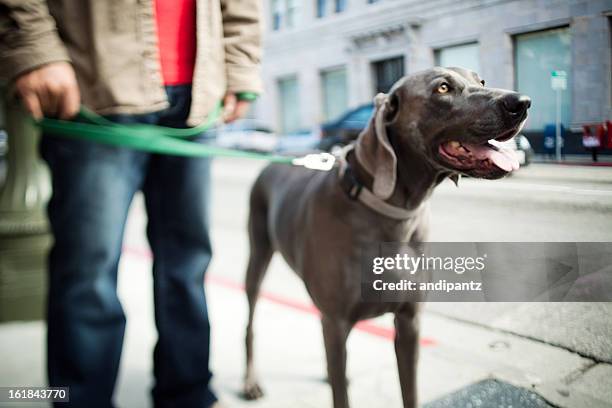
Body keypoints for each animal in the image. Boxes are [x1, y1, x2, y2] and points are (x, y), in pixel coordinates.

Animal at [241, 67, 528, 408]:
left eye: (480, 81)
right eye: (443, 88)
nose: (522, 102)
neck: (393, 217)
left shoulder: (409, 322)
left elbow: (409, 391)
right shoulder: (337, 321)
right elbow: (341, 395)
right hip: (258, 255)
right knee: (250, 323)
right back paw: (250, 382)